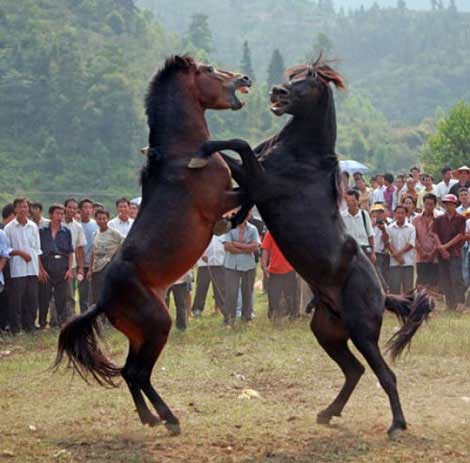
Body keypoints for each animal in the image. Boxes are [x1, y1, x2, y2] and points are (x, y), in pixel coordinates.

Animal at [53, 56, 252, 436]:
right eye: (208, 69)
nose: (244, 77)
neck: (181, 152)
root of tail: (102, 301)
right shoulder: (219, 198)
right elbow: (249, 191)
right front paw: (229, 222)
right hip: (158, 324)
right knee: (138, 372)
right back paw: (169, 419)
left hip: (140, 333)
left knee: (130, 372)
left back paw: (149, 417)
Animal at [190, 56, 434, 436]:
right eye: (295, 75)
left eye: (314, 82)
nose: (278, 92)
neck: (302, 155)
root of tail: (382, 293)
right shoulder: (255, 183)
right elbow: (240, 180)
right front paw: (227, 218)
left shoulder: (262, 180)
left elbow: (237, 146)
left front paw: (198, 152)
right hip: (327, 331)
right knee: (354, 370)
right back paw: (328, 412)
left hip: (363, 332)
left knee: (385, 374)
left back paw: (396, 424)